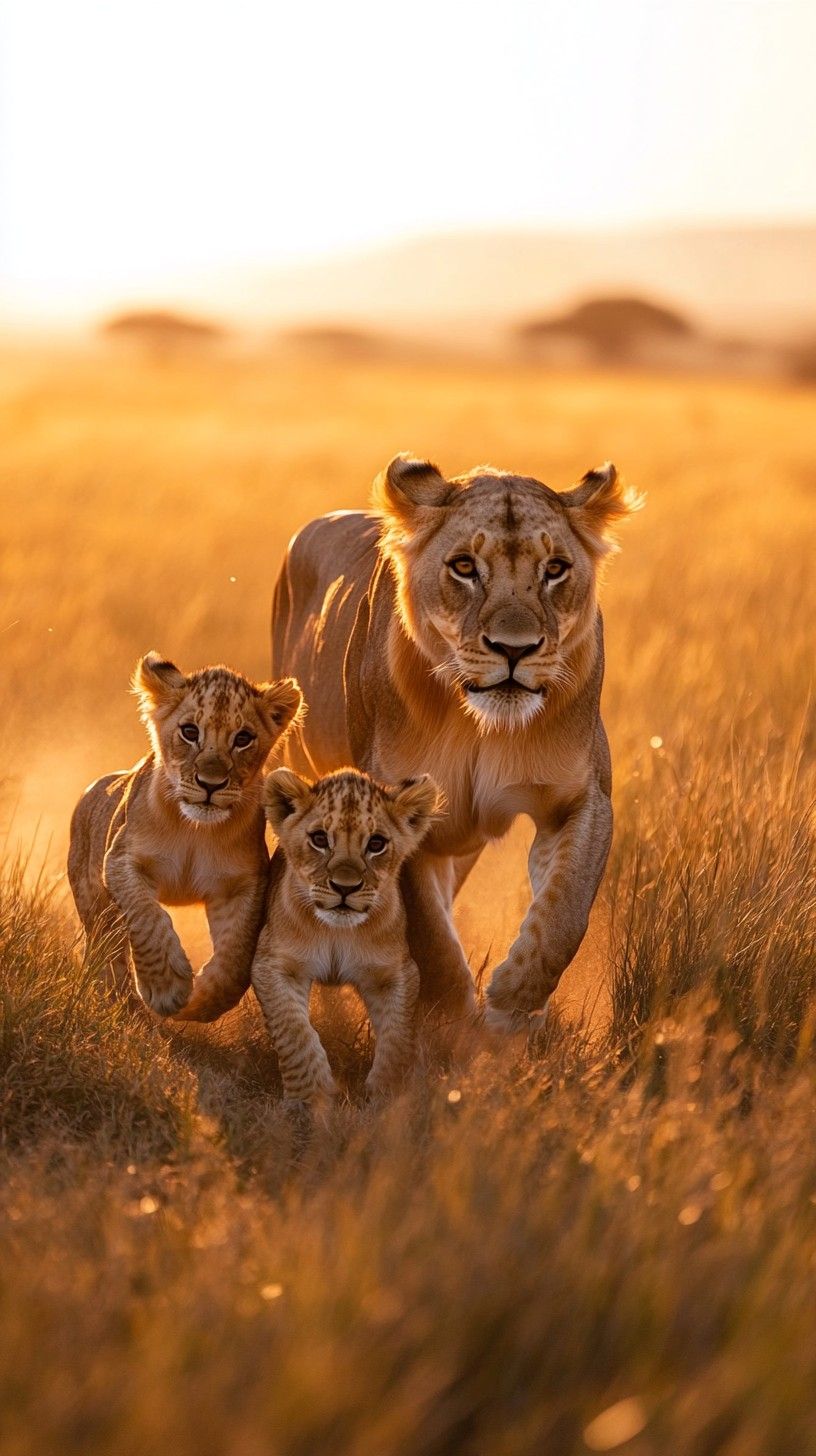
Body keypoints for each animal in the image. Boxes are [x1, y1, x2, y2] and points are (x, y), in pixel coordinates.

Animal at [68, 652, 303, 1017]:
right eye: (190, 732)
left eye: (243, 738)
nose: (210, 784)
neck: (194, 831)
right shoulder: (121, 861)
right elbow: (147, 917)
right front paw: (167, 988)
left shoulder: (243, 883)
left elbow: (237, 955)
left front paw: (200, 1002)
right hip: (95, 902)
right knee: (107, 952)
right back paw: (123, 1003)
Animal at [252, 767, 439, 1102]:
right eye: (319, 839)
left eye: (376, 843)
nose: (344, 887)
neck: (336, 932)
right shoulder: (272, 963)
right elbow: (294, 1030)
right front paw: (310, 1098)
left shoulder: (395, 971)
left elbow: (398, 1035)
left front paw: (389, 1096)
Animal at [271, 454, 641, 1030]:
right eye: (464, 567)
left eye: (555, 569)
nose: (514, 649)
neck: (481, 725)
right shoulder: (395, 808)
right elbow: (430, 935)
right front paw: (454, 1018)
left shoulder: (582, 797)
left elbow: (565, 912)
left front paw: (511, 1001)